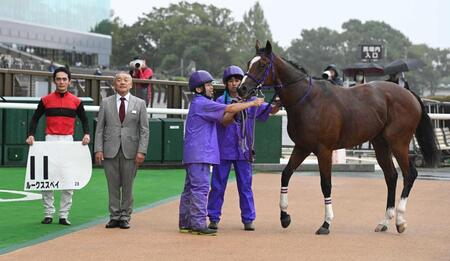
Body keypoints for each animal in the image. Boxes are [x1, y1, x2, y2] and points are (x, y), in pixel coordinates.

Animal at [239, 40, 440, 234]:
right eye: (249, 63)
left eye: (262, 64)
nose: (242, 89)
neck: (307, 100)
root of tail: (409, 94)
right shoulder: (302, 147)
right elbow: (285, 175)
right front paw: (285, 217)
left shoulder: (324, 150)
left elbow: (326, 184)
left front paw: (326, 223)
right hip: (380, 144)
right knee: (391, 176)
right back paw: (384, 222)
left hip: (399, 143)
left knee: (409, 174)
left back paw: (400, 221)